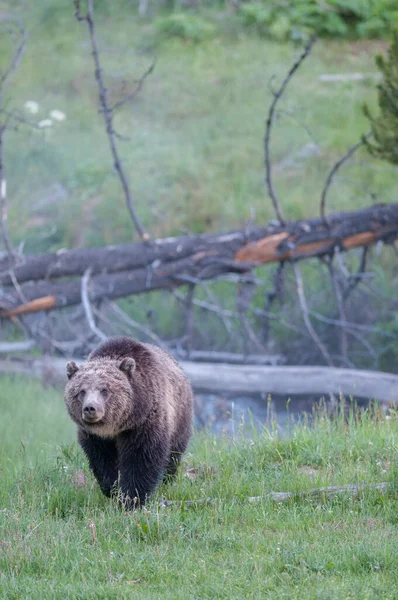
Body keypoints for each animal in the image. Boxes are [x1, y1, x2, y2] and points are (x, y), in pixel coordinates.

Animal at [63, 338, 193, 506]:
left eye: (105, 390)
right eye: (81, 391)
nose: (90, 408)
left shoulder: (143, 423)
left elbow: (142, 459)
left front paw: (132, 498)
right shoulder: (95, 437)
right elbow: (102, 460)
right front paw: (112, 488)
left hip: (179, 419)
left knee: (173, 455)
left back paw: (166, 480)